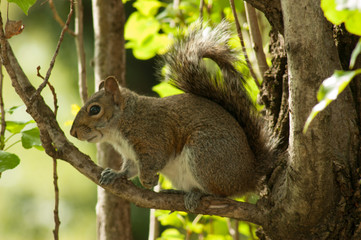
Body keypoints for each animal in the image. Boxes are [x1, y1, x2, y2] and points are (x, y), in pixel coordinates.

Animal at [71, 21, 278, 212]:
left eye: (94, 110)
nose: (73, 133)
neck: (123, 123)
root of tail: (248, 174)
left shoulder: (153, 139)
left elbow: (155, 160)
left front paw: (148, 180)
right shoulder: (131, 155)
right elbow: (129, 169)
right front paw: (115, 174)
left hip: (205, 154)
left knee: (220, 192)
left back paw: (198, 194)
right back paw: (177, 192)